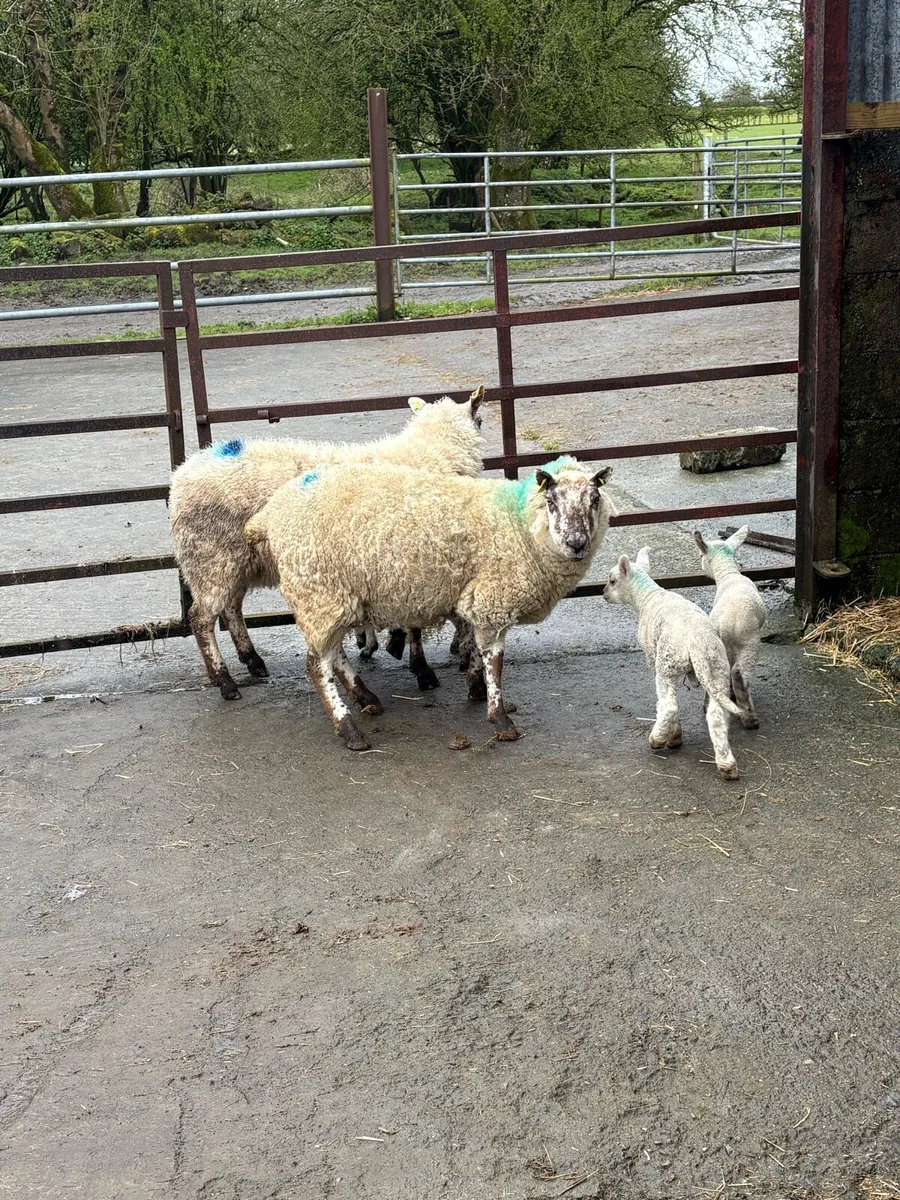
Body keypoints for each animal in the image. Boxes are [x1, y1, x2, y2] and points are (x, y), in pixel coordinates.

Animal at [169, 387, 486, 700]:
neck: (430, 454)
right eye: (480, 420)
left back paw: (252, 660)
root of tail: (181, 475)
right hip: (211, 558)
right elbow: (416, 628)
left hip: (234, 563)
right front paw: (424, 670)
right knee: (201, 619)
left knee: (231, 608)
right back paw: (225, 681)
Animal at [244, 455, 615, 750]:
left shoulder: (476, 599)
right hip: (319, 591)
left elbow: (477, 650)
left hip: (332, 599)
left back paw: (366, 698)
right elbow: (495, 659)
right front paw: (500, 719)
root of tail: (271, 513)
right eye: (551, 500)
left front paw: (476, 688)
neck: (518, 523)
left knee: (332, 653)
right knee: (316, 665)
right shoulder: (493, 599)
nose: (577, 543)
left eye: (594, 499)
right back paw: (349, 729)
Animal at [603, 547, 746, 780]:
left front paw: (672, 736)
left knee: (669, 705)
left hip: (667, 663)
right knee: (716, 715)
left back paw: (657, 738)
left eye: (612, 580)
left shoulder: (653, 658)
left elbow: (664, 703)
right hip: (717, 667)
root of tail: (697, 642)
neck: (647, 598)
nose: (603, 593)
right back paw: (727, 765)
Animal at [693, 525, 766, 728]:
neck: (729, 575)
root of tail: (729, 623)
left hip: (722, 644)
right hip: (749, 641)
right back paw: (749, 716)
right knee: (739, 673)